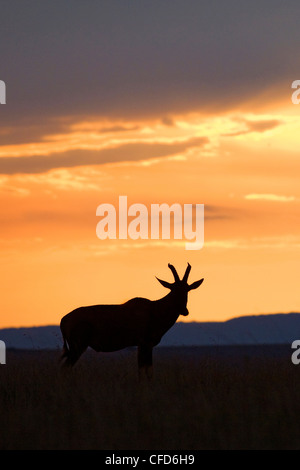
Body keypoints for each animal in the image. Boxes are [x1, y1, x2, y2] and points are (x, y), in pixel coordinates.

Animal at [59, 262, 204, 380]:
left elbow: (148, 371)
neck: (154, 309)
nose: (184, 311)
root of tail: (63, 320)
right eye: (173, 290)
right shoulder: (144, 344)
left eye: (187, 290)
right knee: (65, 368)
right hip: (78, 347)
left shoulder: (146, 346)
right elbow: (143, 372)